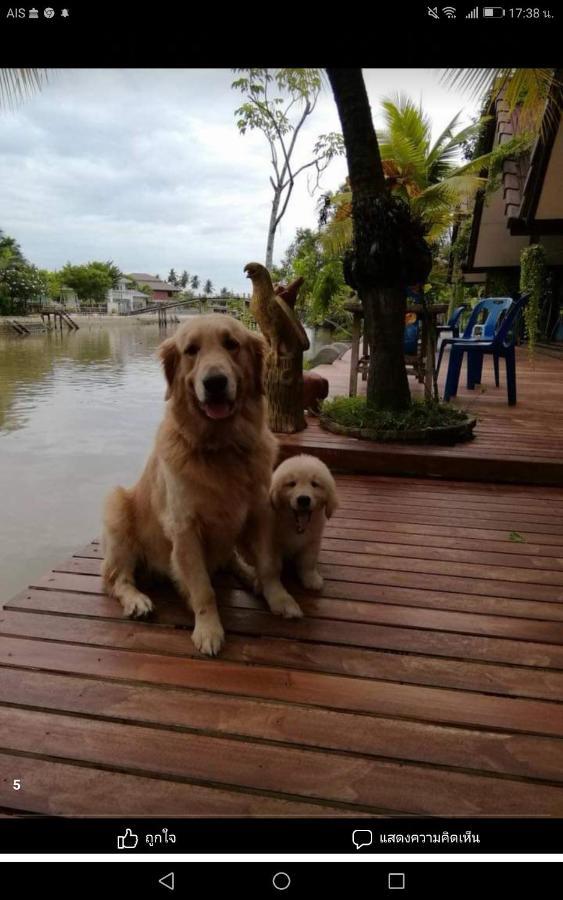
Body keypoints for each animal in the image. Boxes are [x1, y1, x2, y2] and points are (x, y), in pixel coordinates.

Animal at [103, 314, 302, 652]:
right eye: (191, 350)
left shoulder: (260, 512)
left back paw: (249, 576)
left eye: (231, 344)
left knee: (231, 559)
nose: (215, 382)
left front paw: (279, 598)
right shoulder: (185, 529)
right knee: (117, 578)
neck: (222, 448)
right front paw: (209, 629)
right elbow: (202, 588)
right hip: (116, 506)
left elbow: (268, 564)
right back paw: (137, 600)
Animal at [270, 454, 340, 596]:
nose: (303, 499)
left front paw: (311, 578)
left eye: (314, 484)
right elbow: (275, 566)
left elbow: (308, 563)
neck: (297, 528)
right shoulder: (273, 544)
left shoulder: (312, 542)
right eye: (291, 484)